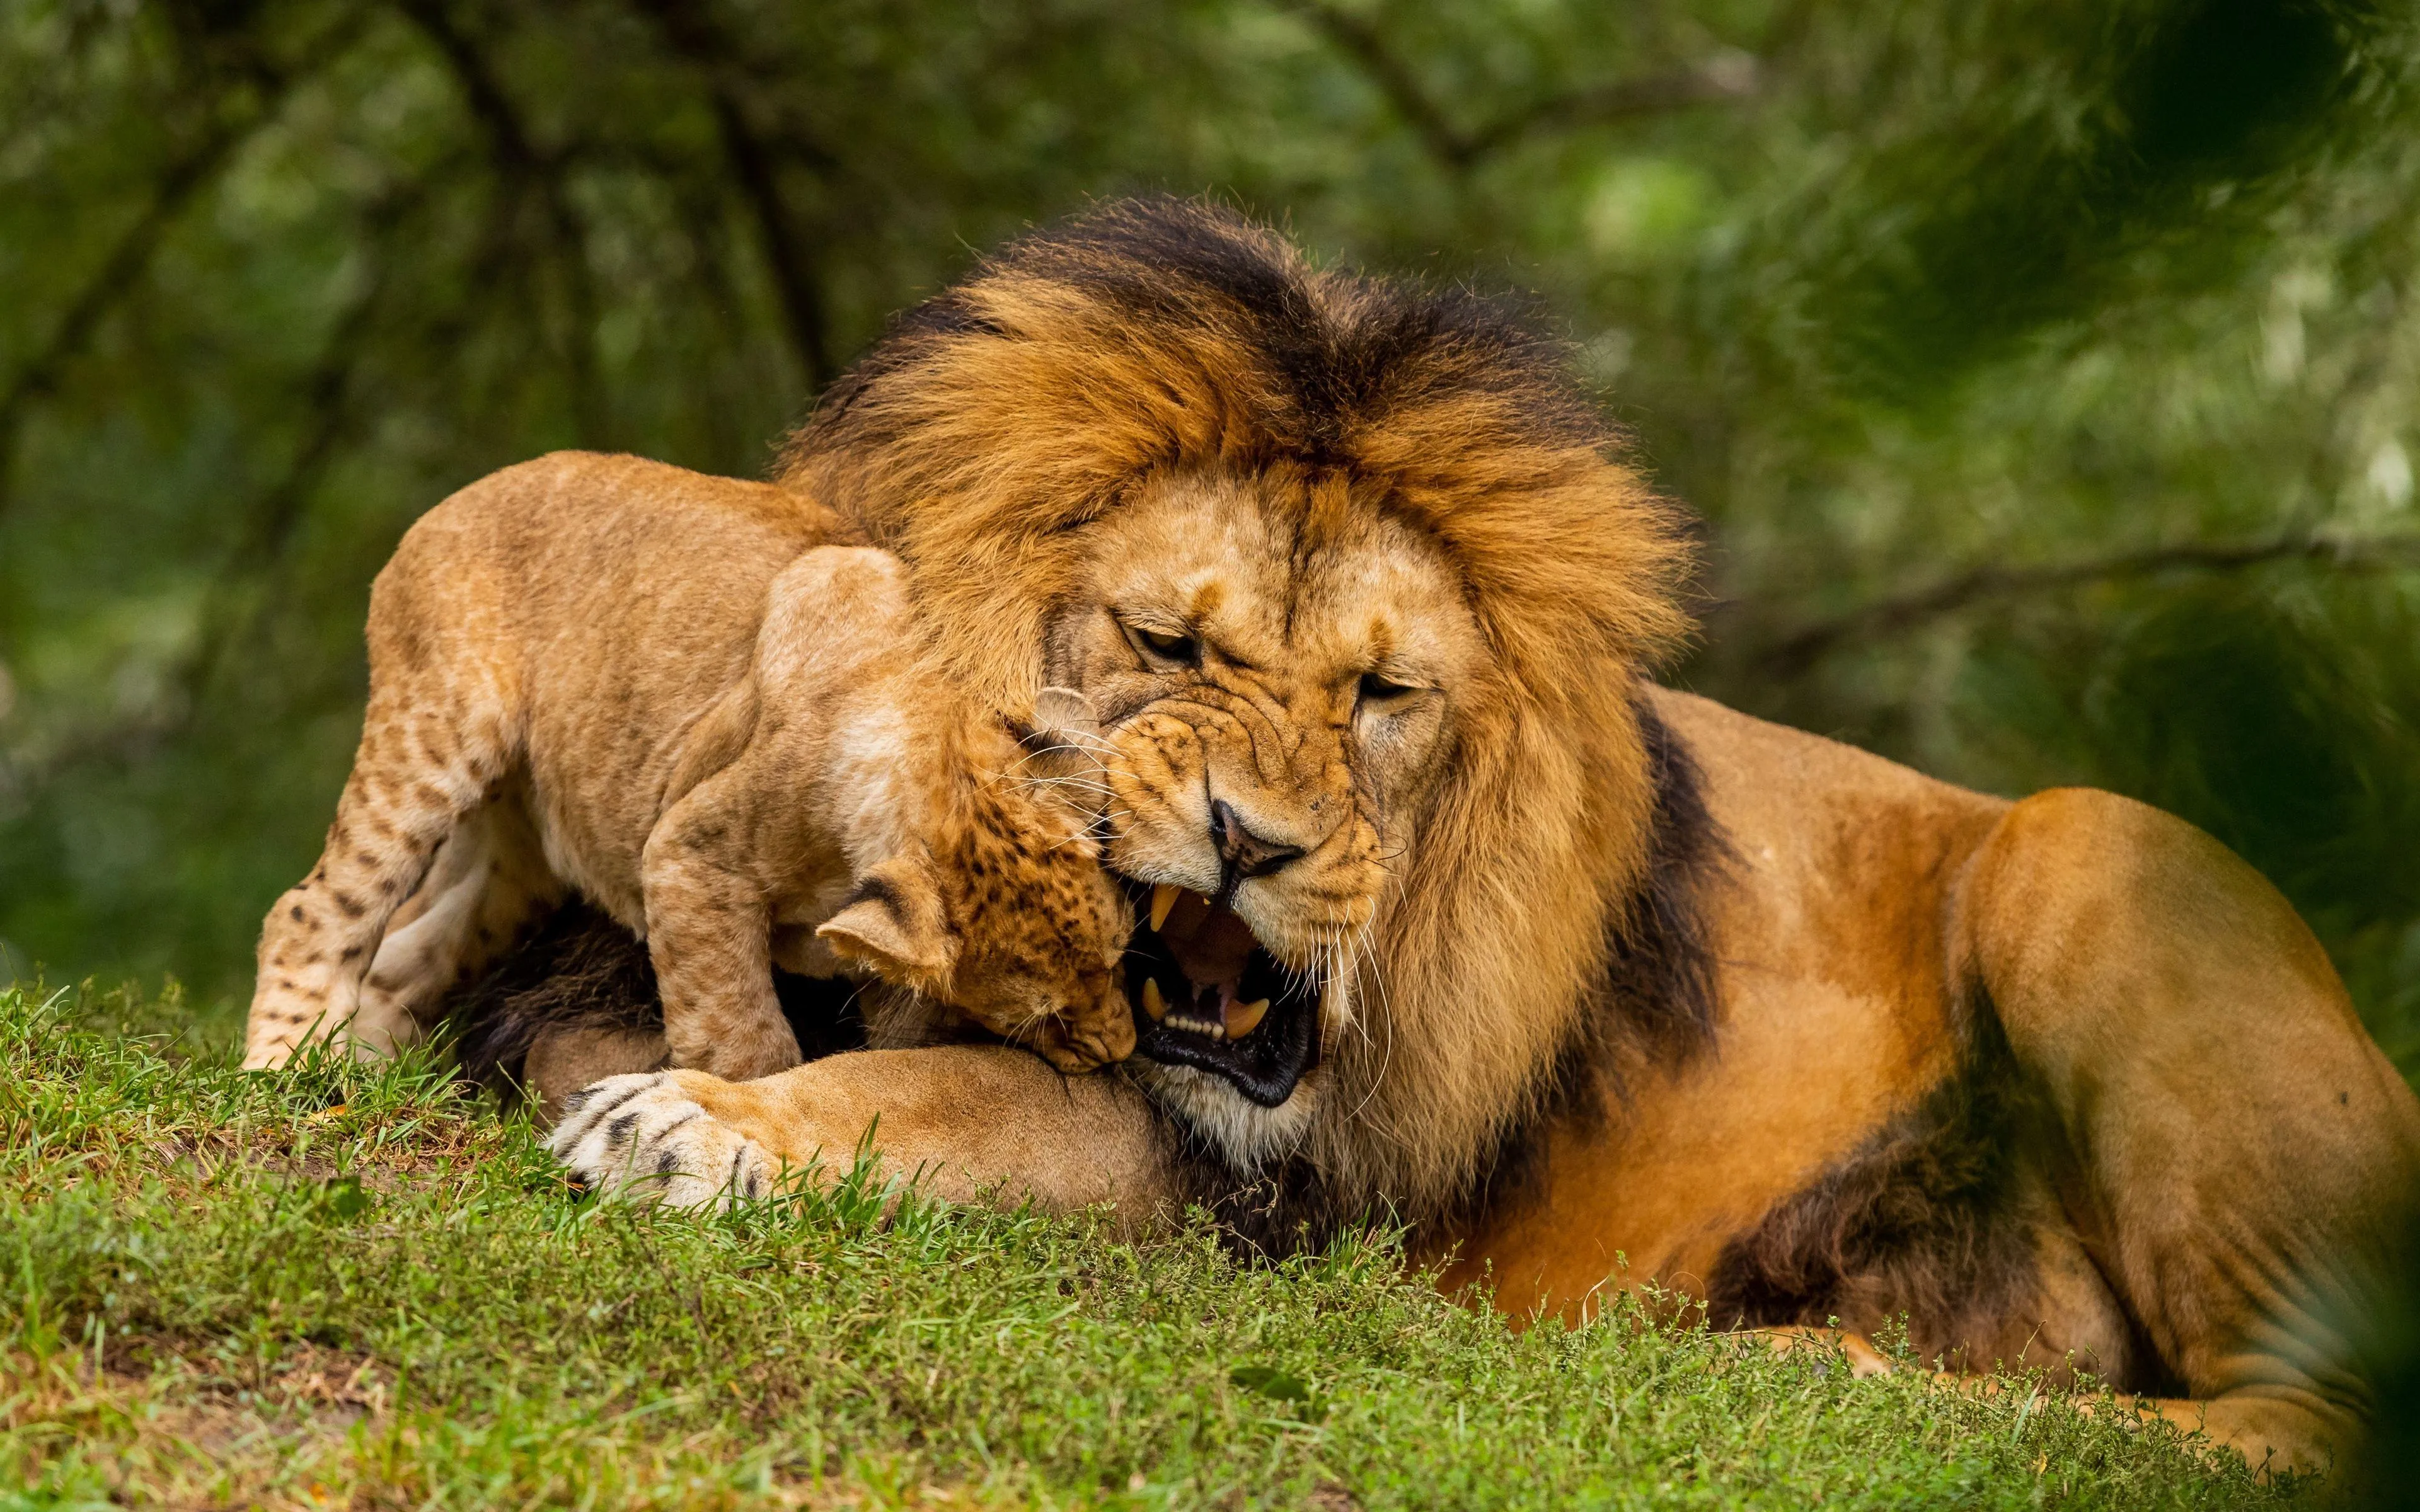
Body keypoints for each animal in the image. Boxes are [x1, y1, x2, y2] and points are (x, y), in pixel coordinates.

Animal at [241, 453, 1135, 1085]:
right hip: (436, 732)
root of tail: (466, 491)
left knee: (406, 957)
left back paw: (369, 1074)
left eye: (1123, 955)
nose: (1121, 1053)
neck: (937, 750)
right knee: (311, 908)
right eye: (1037, 1021)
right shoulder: (687, 856)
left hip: (524, 861)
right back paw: (284, 1069)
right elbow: (739, 1032)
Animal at [534, 199, 2420, 1475]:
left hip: (2088, 848)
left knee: (2303, 1421)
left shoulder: (1262, 1205)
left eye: (1382, 693)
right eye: (1166, 645)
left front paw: (698, 1126)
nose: (1254, 844)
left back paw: (1810, 1371)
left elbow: (946, 1099)